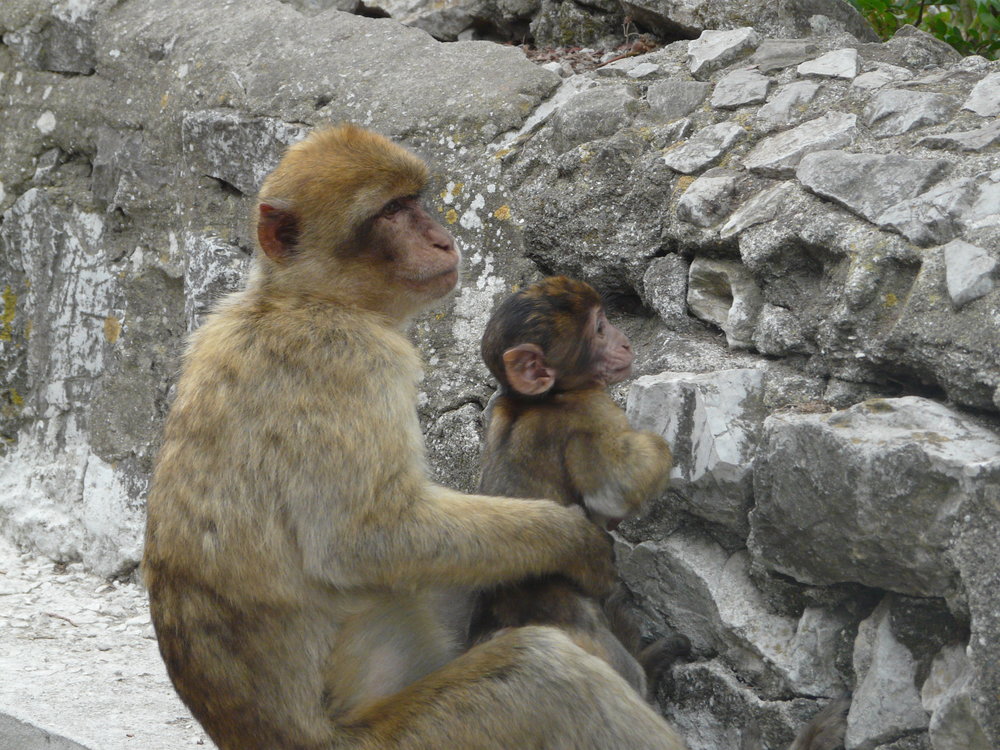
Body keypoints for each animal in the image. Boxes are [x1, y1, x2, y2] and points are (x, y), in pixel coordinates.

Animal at [470, 276, 687, 698]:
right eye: (600, 329)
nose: (625, 342)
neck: (539, 399)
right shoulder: (591, 410)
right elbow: (618, 485)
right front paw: (661, 446)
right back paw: (648, 669)